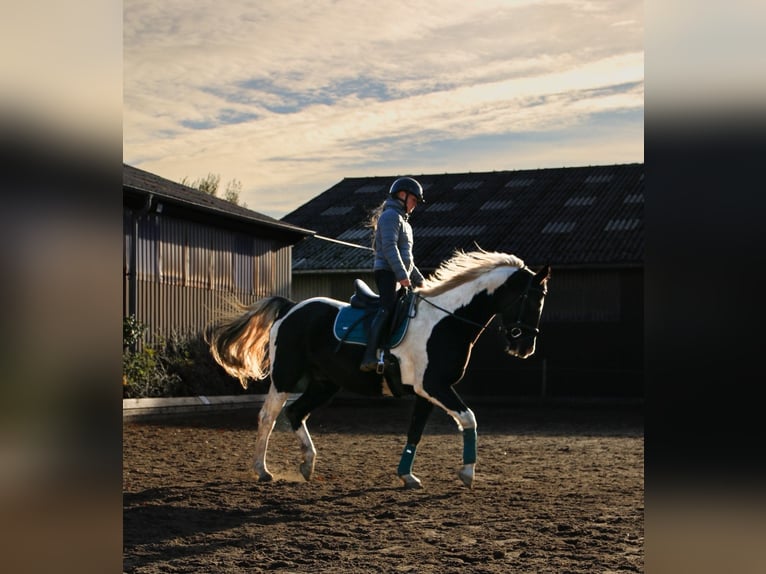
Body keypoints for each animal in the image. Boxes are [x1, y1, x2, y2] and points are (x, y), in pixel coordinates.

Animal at [206, 249, 550, 489]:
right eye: (532, 299)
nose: (525, 348)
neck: (446, 321)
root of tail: (292, 307)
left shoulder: (426, 392)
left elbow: (416, 431)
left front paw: (407, 476)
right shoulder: (435, 386)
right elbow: (469, 419)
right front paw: (466, 473)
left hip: (324, 384)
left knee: (296, 413)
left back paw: (307, 465)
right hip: (285, 377)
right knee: (268, 417)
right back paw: (263, 471)